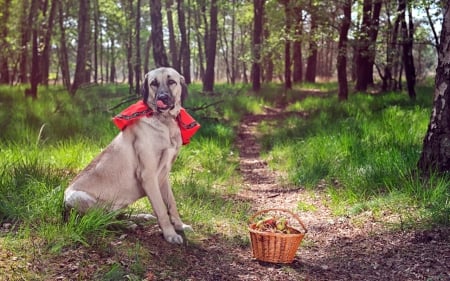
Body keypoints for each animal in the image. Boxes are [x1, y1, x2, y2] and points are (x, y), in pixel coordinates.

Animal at [62, 67, 192, 243]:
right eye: (154, 83)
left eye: (171, 81)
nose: (162, 98)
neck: (165, 123)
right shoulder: (148, 175)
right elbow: (161, 209)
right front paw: (170, 234)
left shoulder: (164, 176)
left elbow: (172, 204)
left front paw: (180, 226)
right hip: (79, 198)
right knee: (103, 220)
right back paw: (128, 224)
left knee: (115, 215)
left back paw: (140, 217)